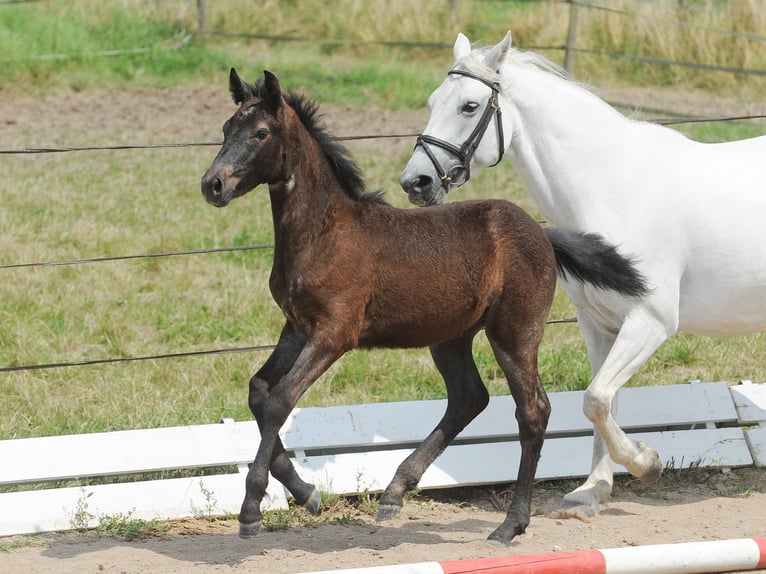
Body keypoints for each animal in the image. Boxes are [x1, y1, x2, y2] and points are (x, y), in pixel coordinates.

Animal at [200, 68, 648, 545]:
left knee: (532, 411)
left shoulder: (334, 333)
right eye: (226, 129)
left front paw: (252, 508)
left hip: (515, 333)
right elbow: (259, 392)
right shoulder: (297, 326)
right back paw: (396, 492)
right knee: (469, 397)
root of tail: (543, 234)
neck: (322, 232)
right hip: (451, 337)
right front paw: (307, 493)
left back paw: (510, 524)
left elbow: (281, 399)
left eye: (261, 133)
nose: (213, 184)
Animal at [400, 31, 766, 520]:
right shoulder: (598, 323)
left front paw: (647, 463)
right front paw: (592, 492)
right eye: (432, 101)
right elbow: (601, 402)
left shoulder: (651, 321)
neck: (610, 188)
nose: (416, 183)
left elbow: (596, 399)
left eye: (470, 106)